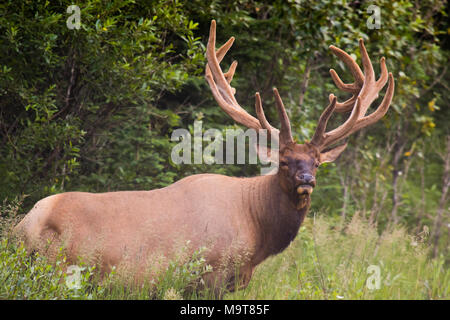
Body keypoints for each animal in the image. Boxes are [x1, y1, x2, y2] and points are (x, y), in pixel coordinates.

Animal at [14, 20, 394, 296]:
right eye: (284, 161)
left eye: (316, 162)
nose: (306, 181)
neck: (257, 230)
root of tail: (23, 228)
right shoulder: (208, 275)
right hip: (64, 270)